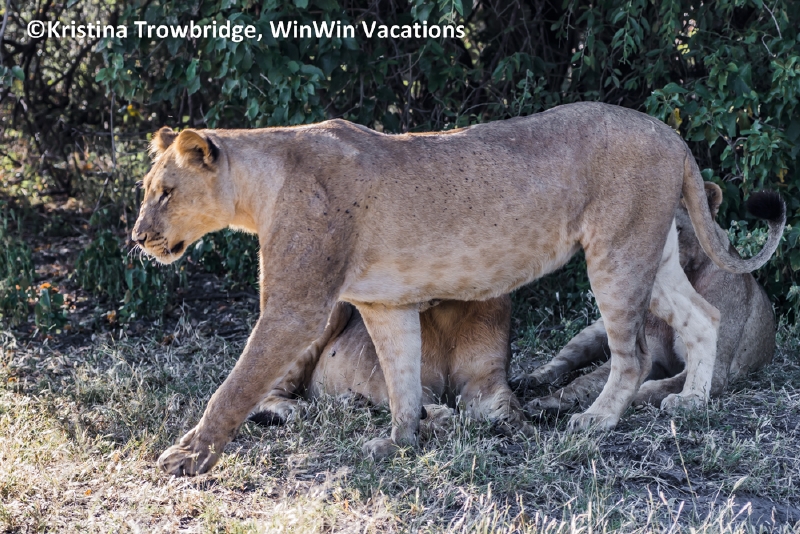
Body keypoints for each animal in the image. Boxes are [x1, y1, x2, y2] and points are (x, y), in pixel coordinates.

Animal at [249, 296, 532, 437]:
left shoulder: (486, 378)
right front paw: (444, 418)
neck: (448, 312)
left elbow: (507, 399)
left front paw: (515, 422)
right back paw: (292, 409)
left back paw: (353, 402)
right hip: (330, 312)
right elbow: (419, 408)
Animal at [516, 182, 777, 413]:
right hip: (593, 333)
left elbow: (663, 385)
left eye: (676, 231)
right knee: (563, 361)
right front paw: (549, 403)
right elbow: (588, 381)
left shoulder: (718, 368)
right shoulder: (654, 354)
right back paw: (529, 379)